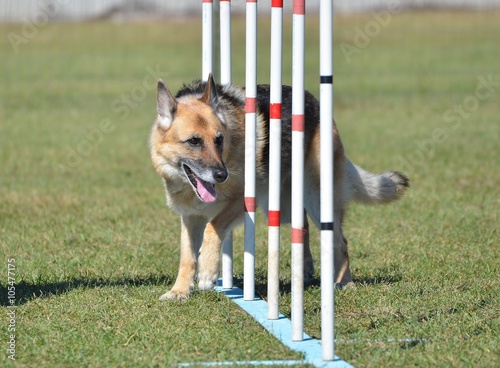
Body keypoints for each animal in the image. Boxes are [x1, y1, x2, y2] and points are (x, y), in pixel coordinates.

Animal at [150, 74, 408, 300]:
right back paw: (305, 270)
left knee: (340, 241)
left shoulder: (242, 201)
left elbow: (213, 227)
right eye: (194, 141)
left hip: (317, 199)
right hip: (283, 207)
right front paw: (179, 291)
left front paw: (207, 272)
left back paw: (344, 282)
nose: (221, 175)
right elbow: (187, 256)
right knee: (302, 226)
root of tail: (316, 103)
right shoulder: (190, 217)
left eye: (219, 140)